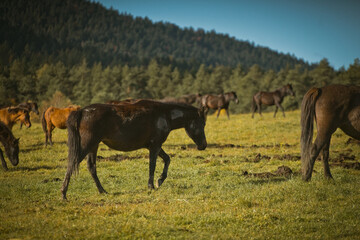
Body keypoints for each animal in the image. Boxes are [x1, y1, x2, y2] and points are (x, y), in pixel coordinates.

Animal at [60, 99, 207, 199]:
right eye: (202, 123)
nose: (204, 145)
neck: (165, 115)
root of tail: (82, 111)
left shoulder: (154, 146)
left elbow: (167, 159)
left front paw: (160, 180)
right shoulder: (155, 146)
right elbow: (152, 165)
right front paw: (151, 186)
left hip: (93, 146)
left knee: (91, 167)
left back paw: (102, 191)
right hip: (87, 145)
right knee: (72, 163)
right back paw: (63, 194)